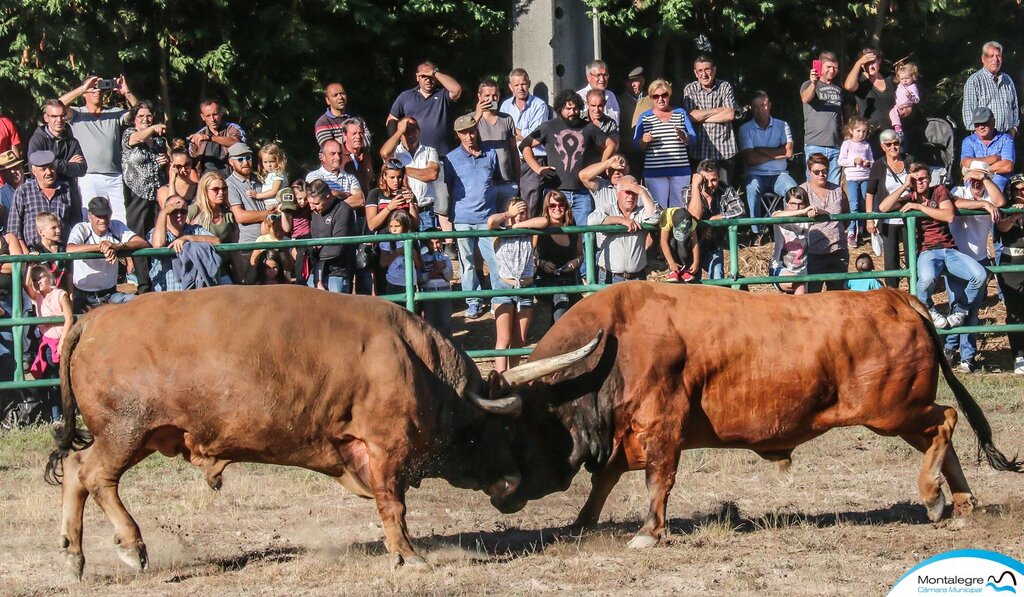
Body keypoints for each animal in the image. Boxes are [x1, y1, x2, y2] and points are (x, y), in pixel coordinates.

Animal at [44, 284, 598, 577]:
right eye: (503, 429)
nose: (515, 488)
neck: (418, 362)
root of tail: (96, 318)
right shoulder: (385, 449)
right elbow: (394, 507)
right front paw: (407, 555)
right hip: (125, 431)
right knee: (94, 475)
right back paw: (130, 546)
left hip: (134, 435)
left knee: (75, 470)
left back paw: (73, 555)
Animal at [491, 282, 1019, 548]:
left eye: (513, 430)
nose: (500, 494)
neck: (617, 339)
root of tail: (893, 297)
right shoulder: (625, 433)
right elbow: (604, 481)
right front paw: (581, 523)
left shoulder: (661, 427)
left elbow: (657, 479)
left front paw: (647, 532)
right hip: (900, 414)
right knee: (944, 436)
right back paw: (960, 504)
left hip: (896, 412)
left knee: (946, 421)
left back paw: (932, 496)